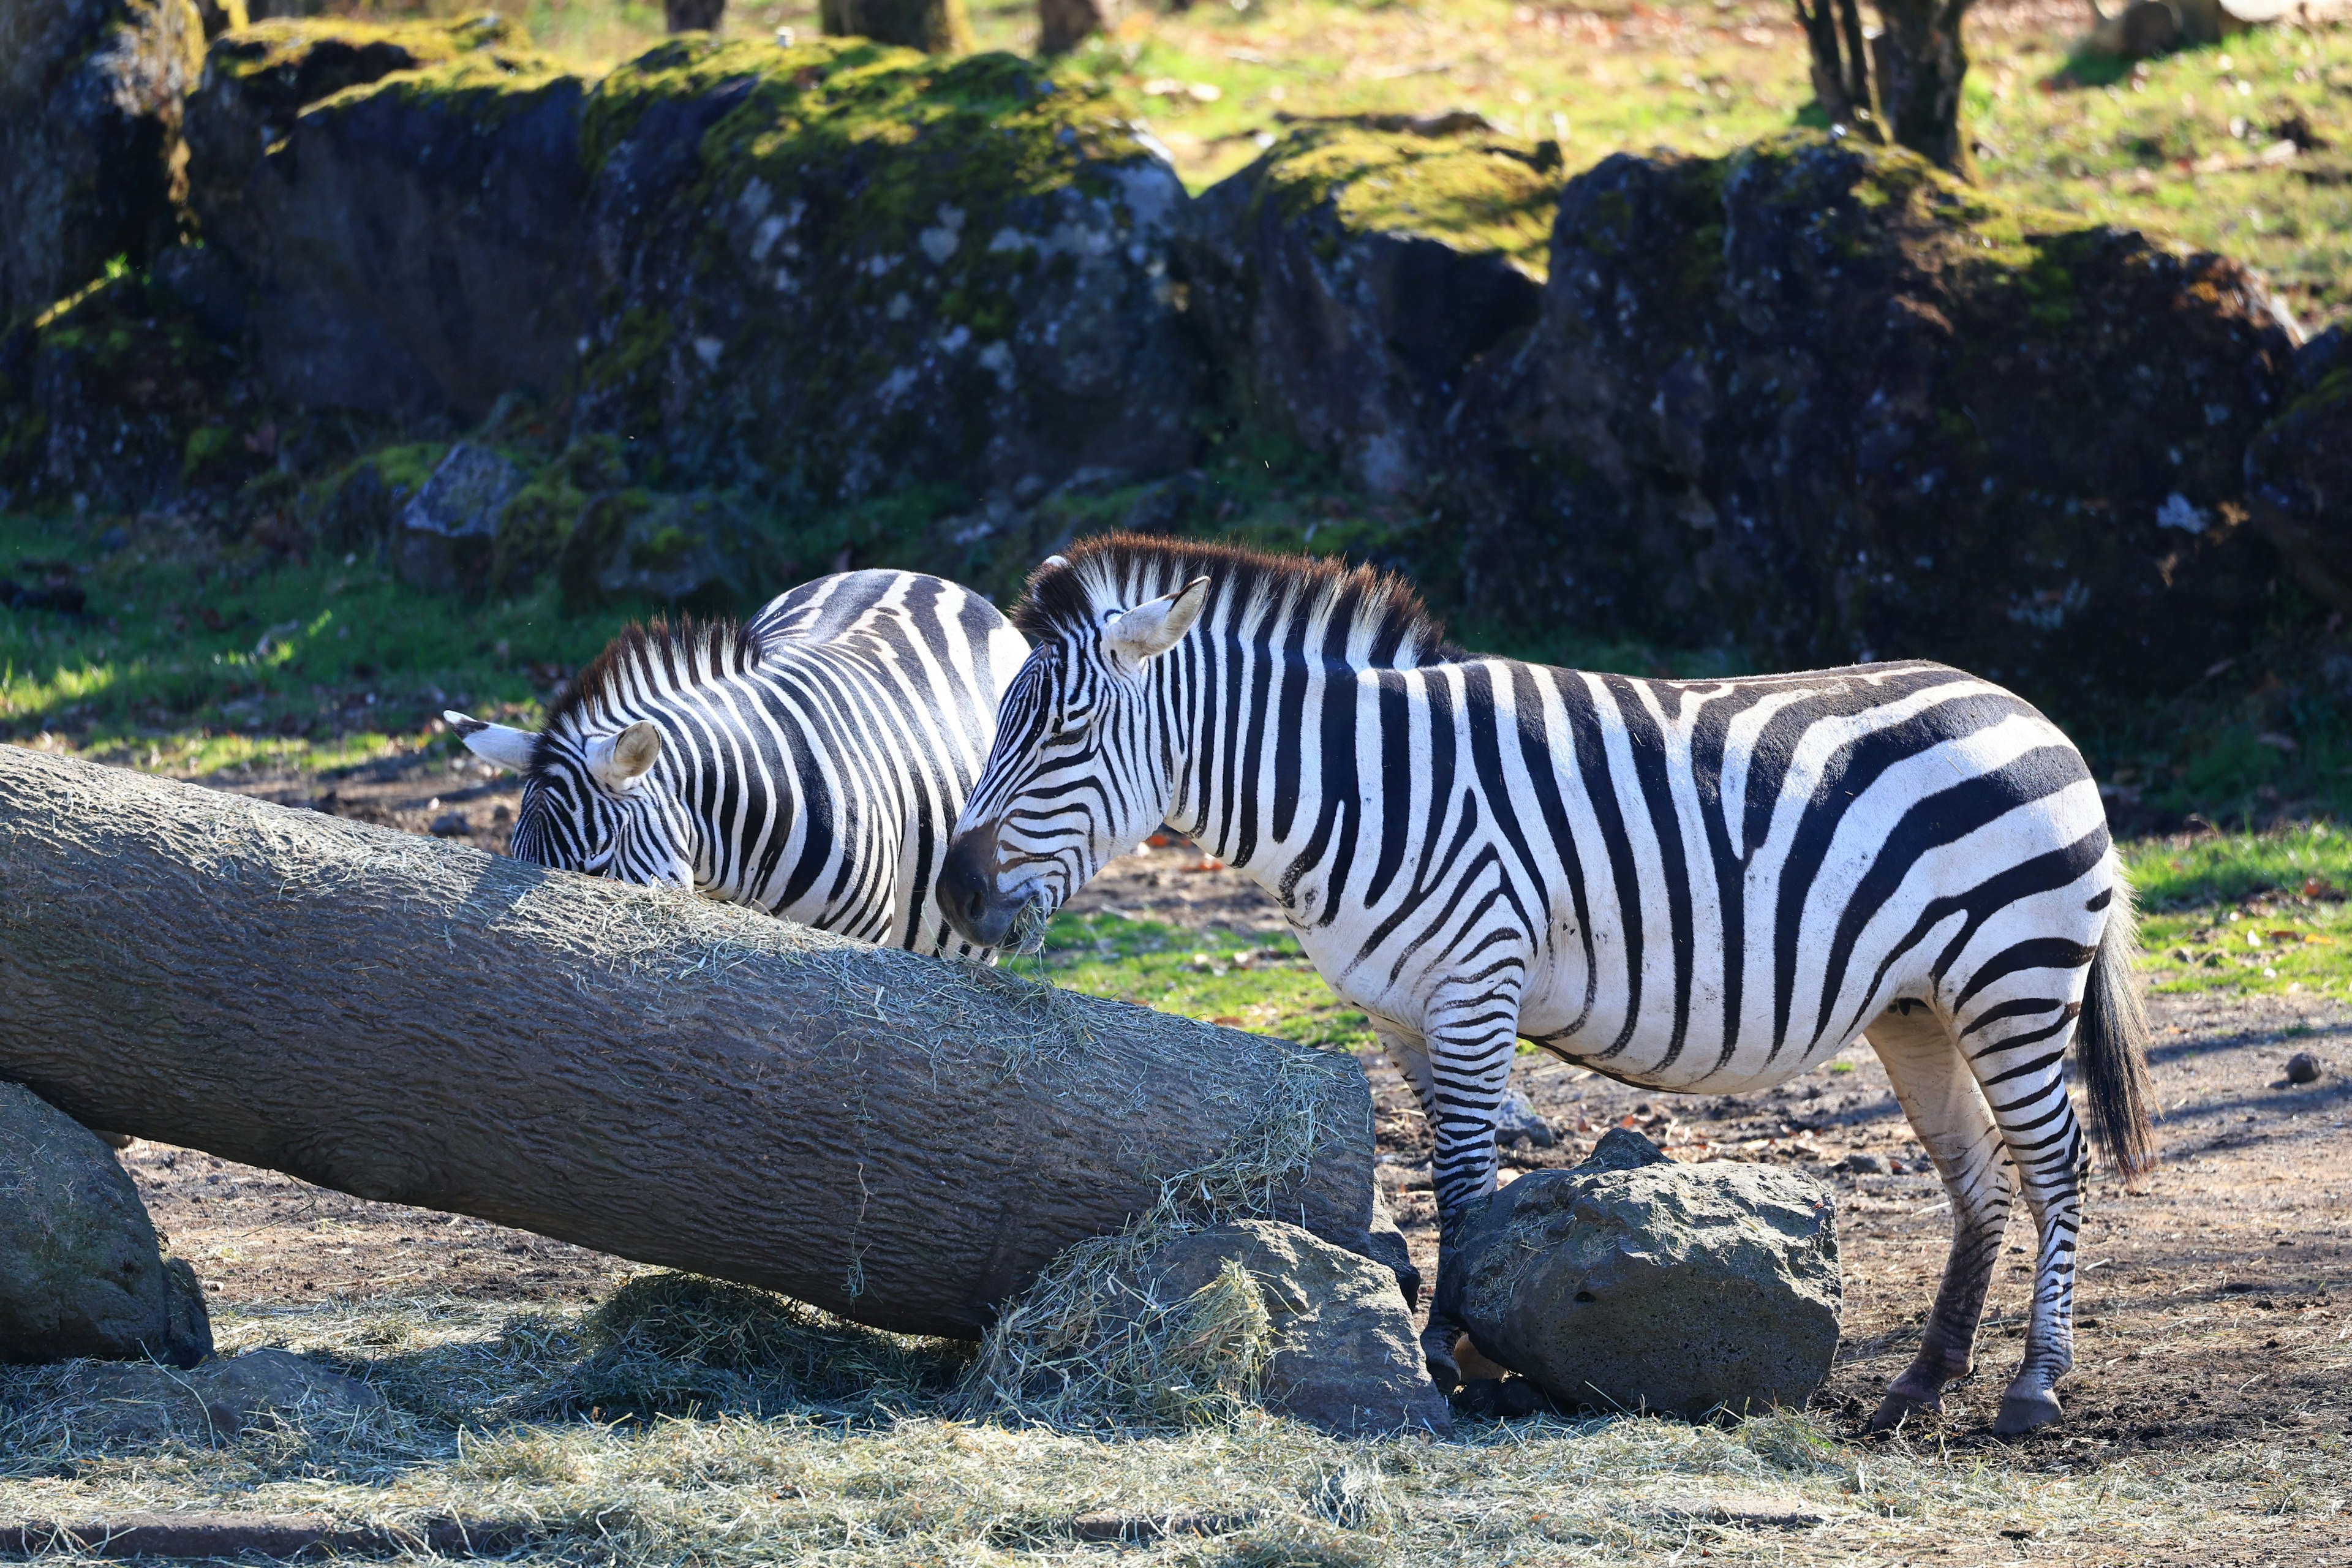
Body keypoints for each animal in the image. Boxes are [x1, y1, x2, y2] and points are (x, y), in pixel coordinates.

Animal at [936, 540, 2154, 1438]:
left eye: (1068, 733)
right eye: (999, 727)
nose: (954, 894)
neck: (1362, 784)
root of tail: (2026, 709)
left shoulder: (1478, 981)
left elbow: (1465, 1182)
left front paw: (1454, 1358)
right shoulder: (1403, 1014)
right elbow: (1443, 1174)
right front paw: (1467, 1342)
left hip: (2015, 978)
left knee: (2057, 1165)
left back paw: (2034, 1388)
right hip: (1918, 1004)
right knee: (1980, 1175)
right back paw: (1921, 1382)